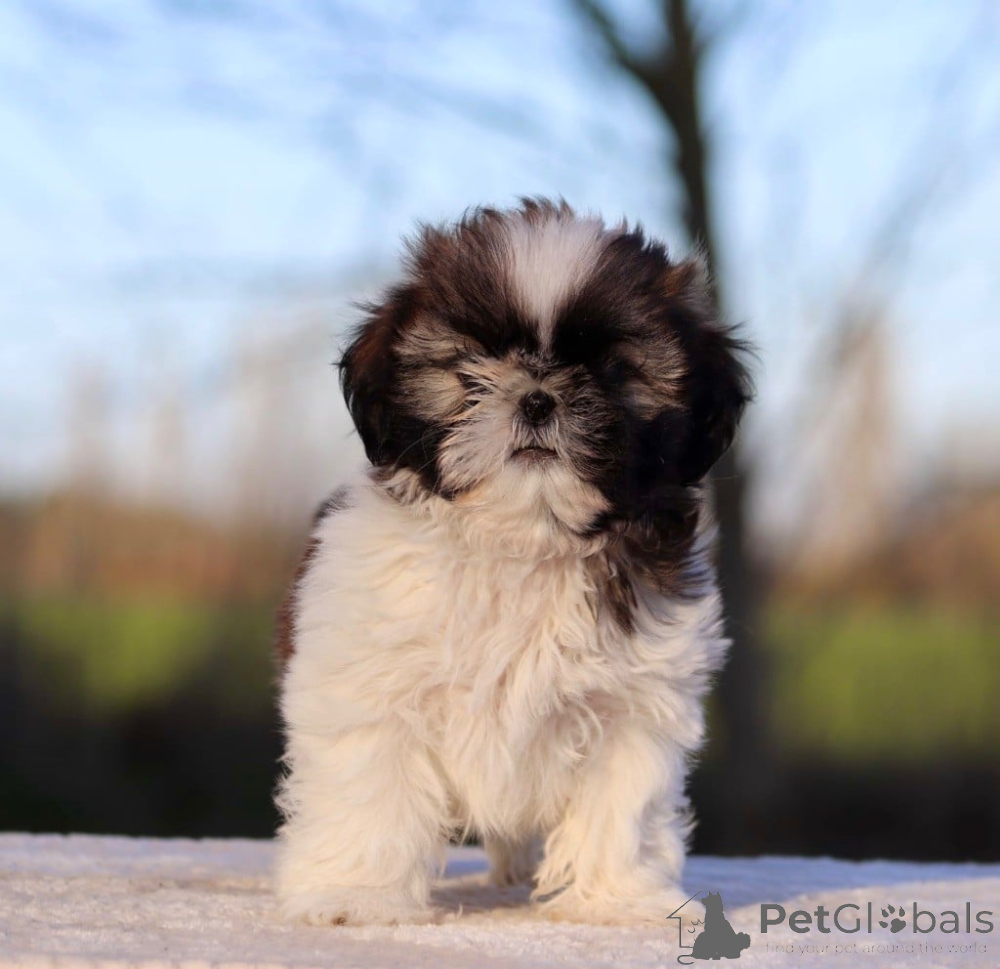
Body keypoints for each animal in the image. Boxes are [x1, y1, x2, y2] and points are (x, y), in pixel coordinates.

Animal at [274, 198, 752, 926]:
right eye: (475, 360)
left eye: (613, 370)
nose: (536, 397)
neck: (525, 540)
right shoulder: (368, 679)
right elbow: (372, 785)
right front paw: (355, 895)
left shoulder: (633, 703)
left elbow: (622, 802)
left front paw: (615, 898)